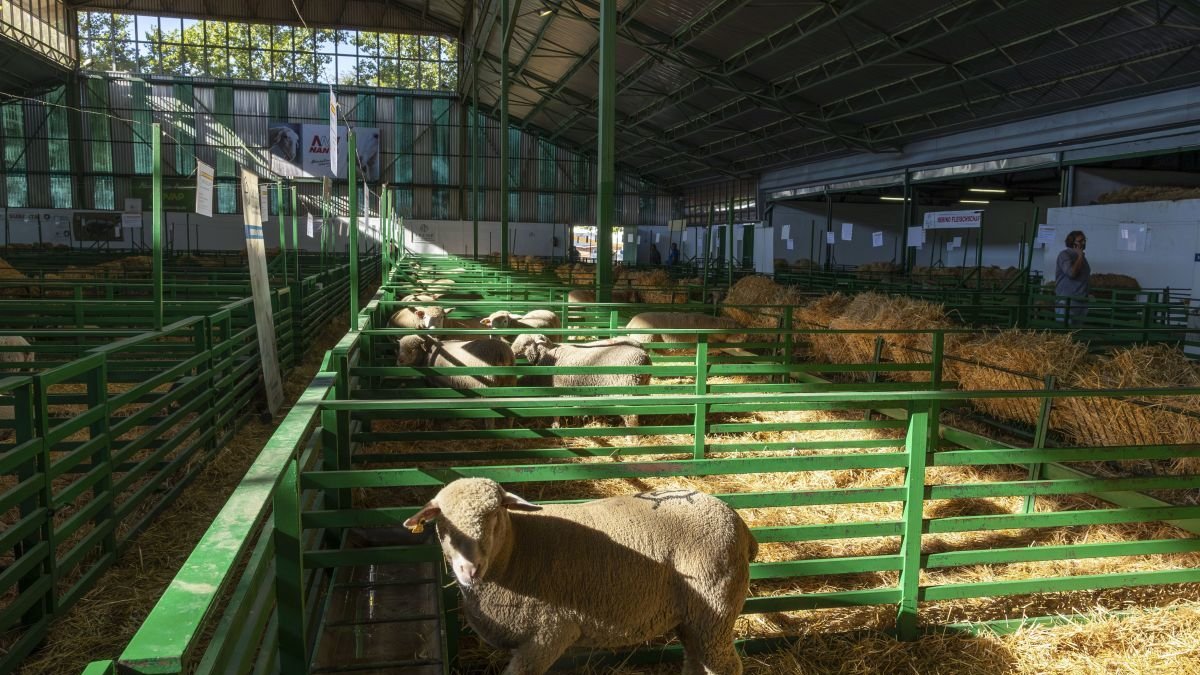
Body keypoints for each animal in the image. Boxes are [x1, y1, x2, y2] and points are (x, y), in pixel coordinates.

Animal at [403, 477, 755, 675]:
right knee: (697, 663)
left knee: (724, 665)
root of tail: (736, 519)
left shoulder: (549, 633)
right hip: (693, 618)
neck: (516, 550)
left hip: (715, 612)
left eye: (495, 515)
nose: (469, 569)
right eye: (442, 522)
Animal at [510, 333, 650, 427]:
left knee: (631, 415)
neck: (547, 353)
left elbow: (556, 413)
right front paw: (577, 423)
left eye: (526, 344)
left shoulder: (557, 392)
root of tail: (644, 356)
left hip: (626, 388)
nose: (512, 352)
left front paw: (556, 426)